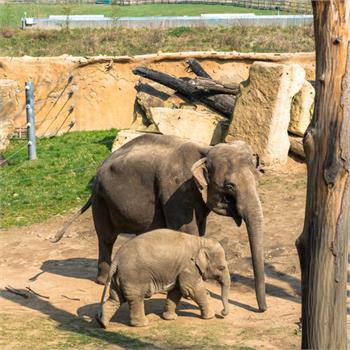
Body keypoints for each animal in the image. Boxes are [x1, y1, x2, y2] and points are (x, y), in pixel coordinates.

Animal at [52, 133, 266, 312]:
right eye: (229, 186)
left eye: (258, 180)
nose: (261, 309)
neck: (206, 150)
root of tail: (99, 168)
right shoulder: (176, 190)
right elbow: (187, 230)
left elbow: (200, 229)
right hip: (101, 198)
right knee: (106, 237)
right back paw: (103, 280)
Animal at [95, 228, 231, 326]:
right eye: (222, 268)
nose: (222, 313)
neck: (200, 241)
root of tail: (116, 259)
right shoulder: (188, 267)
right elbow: (193, 290)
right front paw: (210, 316)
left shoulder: (179, 270)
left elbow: (176, 292)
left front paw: (170, 318)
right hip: (133, 276)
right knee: (136, 298)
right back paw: (142, 324)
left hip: (118, 277)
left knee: (115, 298)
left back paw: (103, 324)